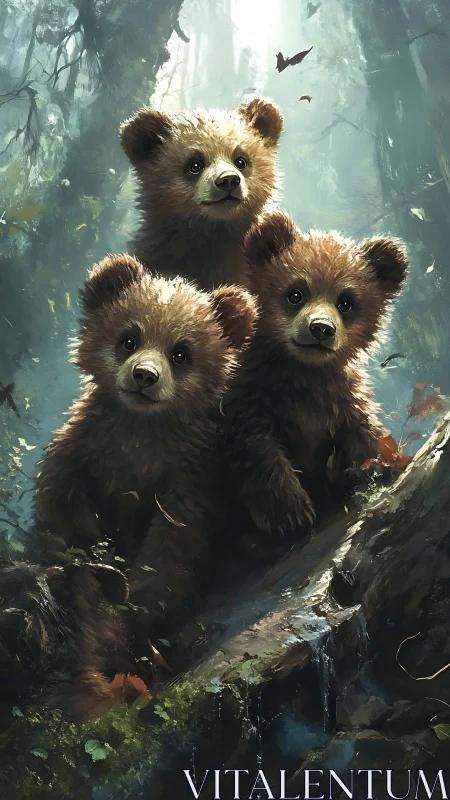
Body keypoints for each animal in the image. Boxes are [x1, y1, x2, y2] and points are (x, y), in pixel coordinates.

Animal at [33, 254, 257, 644]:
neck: (140, 433)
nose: (144, 375)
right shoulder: (88, 445)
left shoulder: (187, 476)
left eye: (181, 353)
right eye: (129, 339)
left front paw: (142, 608)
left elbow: (172, 543)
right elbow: (62, 501)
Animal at [223, 212, 408, 537]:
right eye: (295, 294)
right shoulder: (252, 398)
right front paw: (290, 512)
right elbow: (256, 449)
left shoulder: (342, 400)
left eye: (346, 302)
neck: (304, 373)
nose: (321, 328)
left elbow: (363, 438)